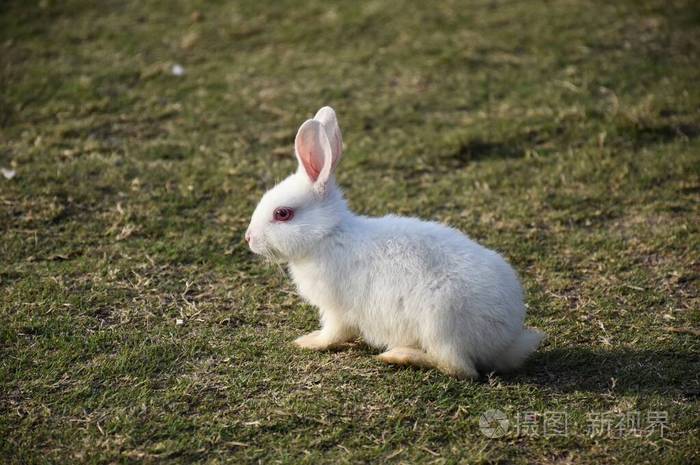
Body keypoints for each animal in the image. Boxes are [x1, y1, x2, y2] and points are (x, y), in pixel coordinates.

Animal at [246, 107, 548, 378]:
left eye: (282, 214)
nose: (248, 238)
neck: (328, 235)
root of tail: (505, 341)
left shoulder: (337, 310)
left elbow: (333, 334)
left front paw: (308, 341)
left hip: (440, 324)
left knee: (460, 369)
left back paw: (400, 356)